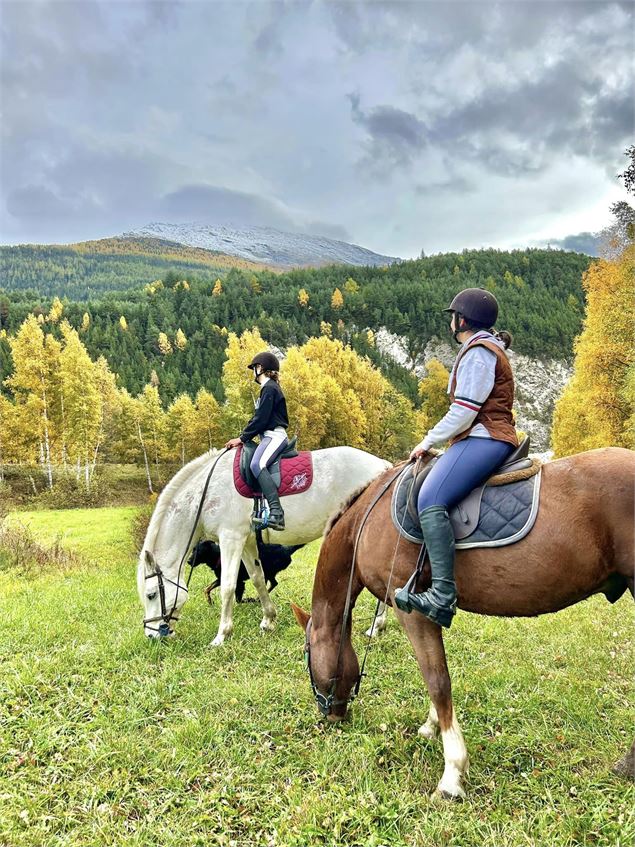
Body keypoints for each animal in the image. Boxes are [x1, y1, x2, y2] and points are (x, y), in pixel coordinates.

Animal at [137, 448, 390, 644]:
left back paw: (375, 626)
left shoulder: (230, 538)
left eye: (151, 595)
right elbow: (258, 578)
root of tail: (383, 465)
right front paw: (268, 620)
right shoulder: (246, 541)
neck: (207, 493)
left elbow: (227, 586)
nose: (151, 635)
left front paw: (222, 635)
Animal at [294, 450, 635, 800]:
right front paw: (432, 726)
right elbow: (435, 676)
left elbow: (437, 680)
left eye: (306, 656)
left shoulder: (411, 610)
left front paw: (452, 773)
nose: (330, 715)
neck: (365, 521)